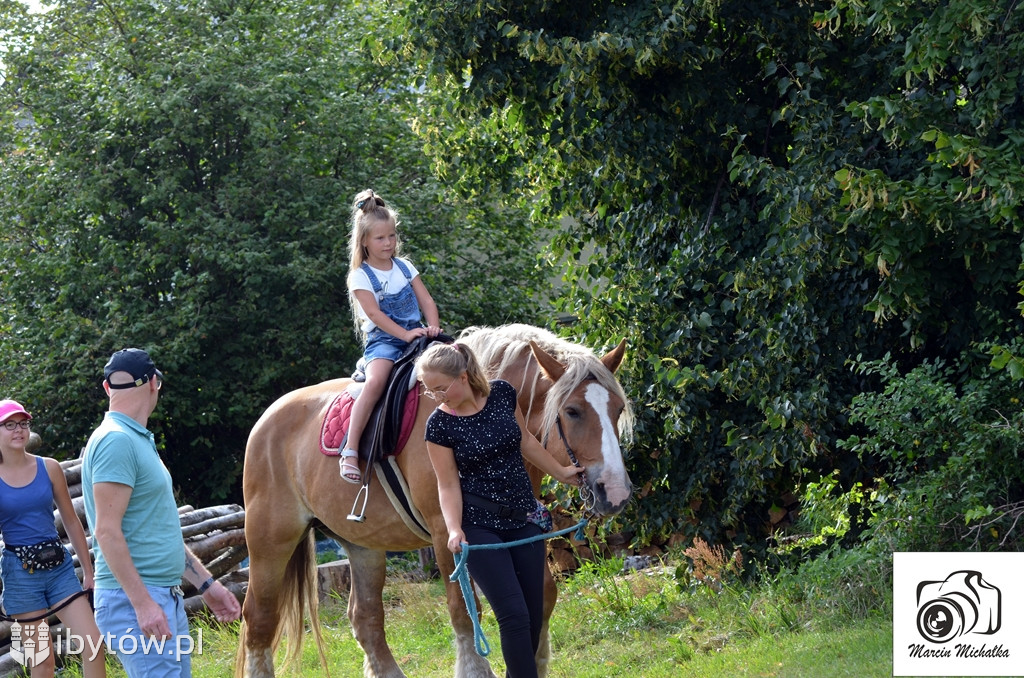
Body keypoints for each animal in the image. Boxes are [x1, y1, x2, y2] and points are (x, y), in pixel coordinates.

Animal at [233, 323, 630, 678]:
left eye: (617, 409)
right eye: (573, 411)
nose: (616, 491)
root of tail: (265, 421)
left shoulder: (525, 531)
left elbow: (543, 596)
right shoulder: (447, 536)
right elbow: (463, 610)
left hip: (363, 547)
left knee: (365, 618)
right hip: (271, 541)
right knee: (258, 619)